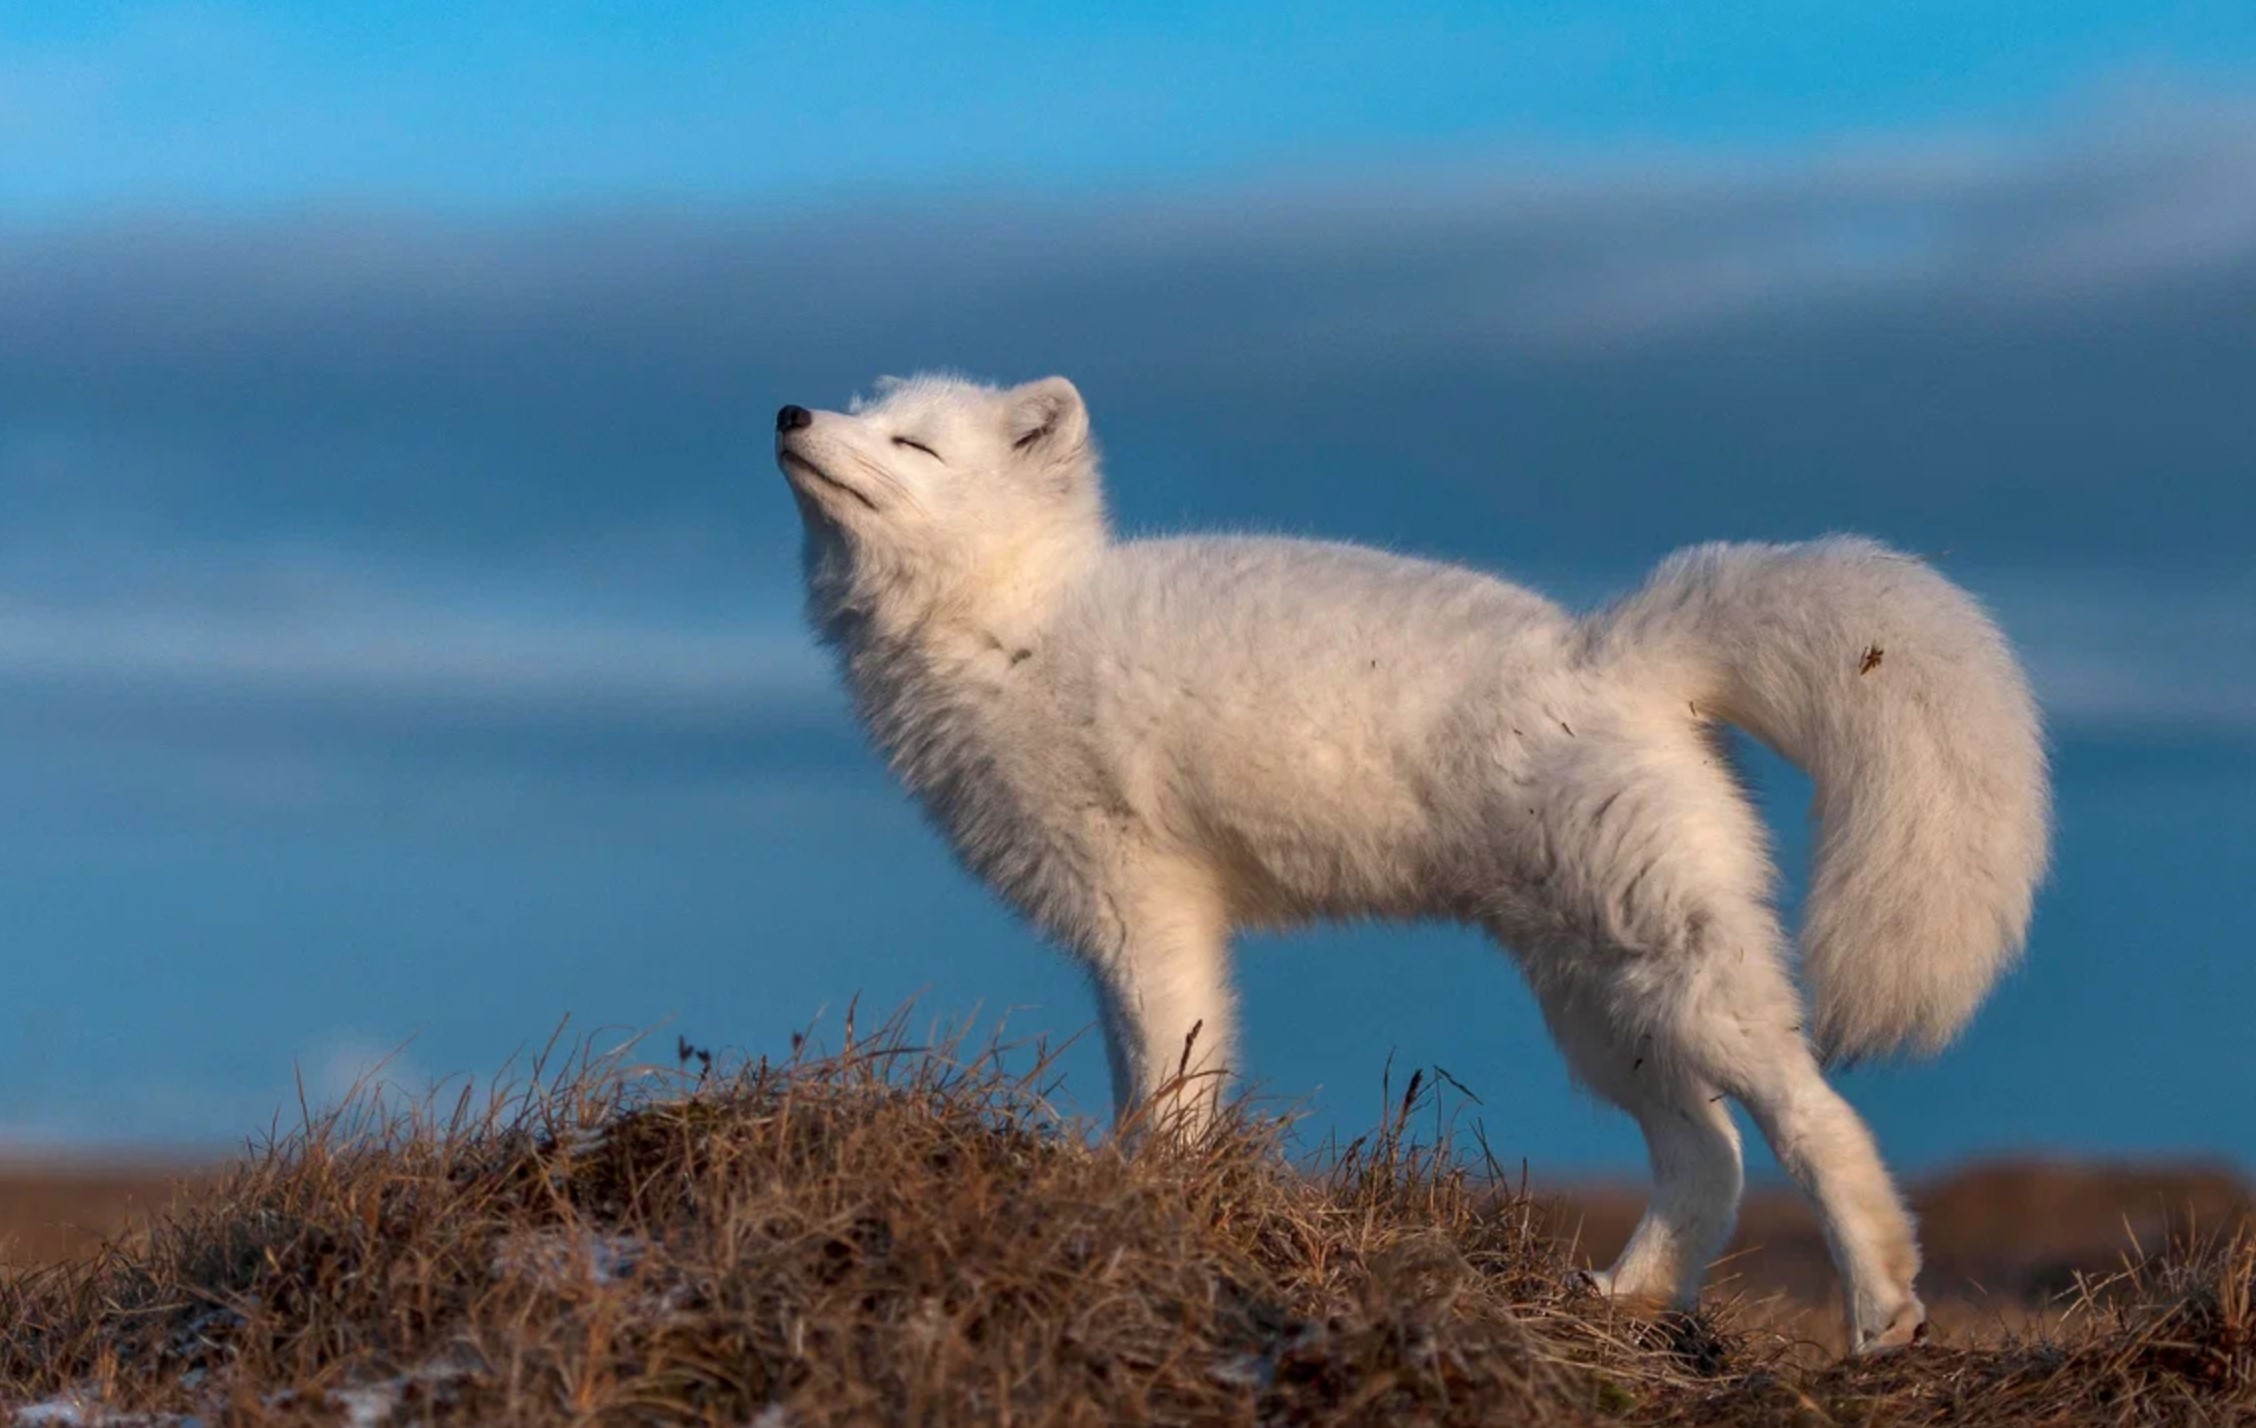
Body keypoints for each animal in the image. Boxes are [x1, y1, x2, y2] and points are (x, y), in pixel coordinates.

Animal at [785, 369, 2057, 1344]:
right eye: (863, 403)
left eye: (909, 441)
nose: (792, 413)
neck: (1016, 622)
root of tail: (1613, 650)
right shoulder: (1121, 928)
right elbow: (1151, 1067)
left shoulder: (1142, 900)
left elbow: (1171, 1074)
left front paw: (1146, 1198)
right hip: (1602, 1014)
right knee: (1713, 1154)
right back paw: (1625, 1299)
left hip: (1680, 984)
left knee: (1807, 1116)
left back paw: (1882, 1306)